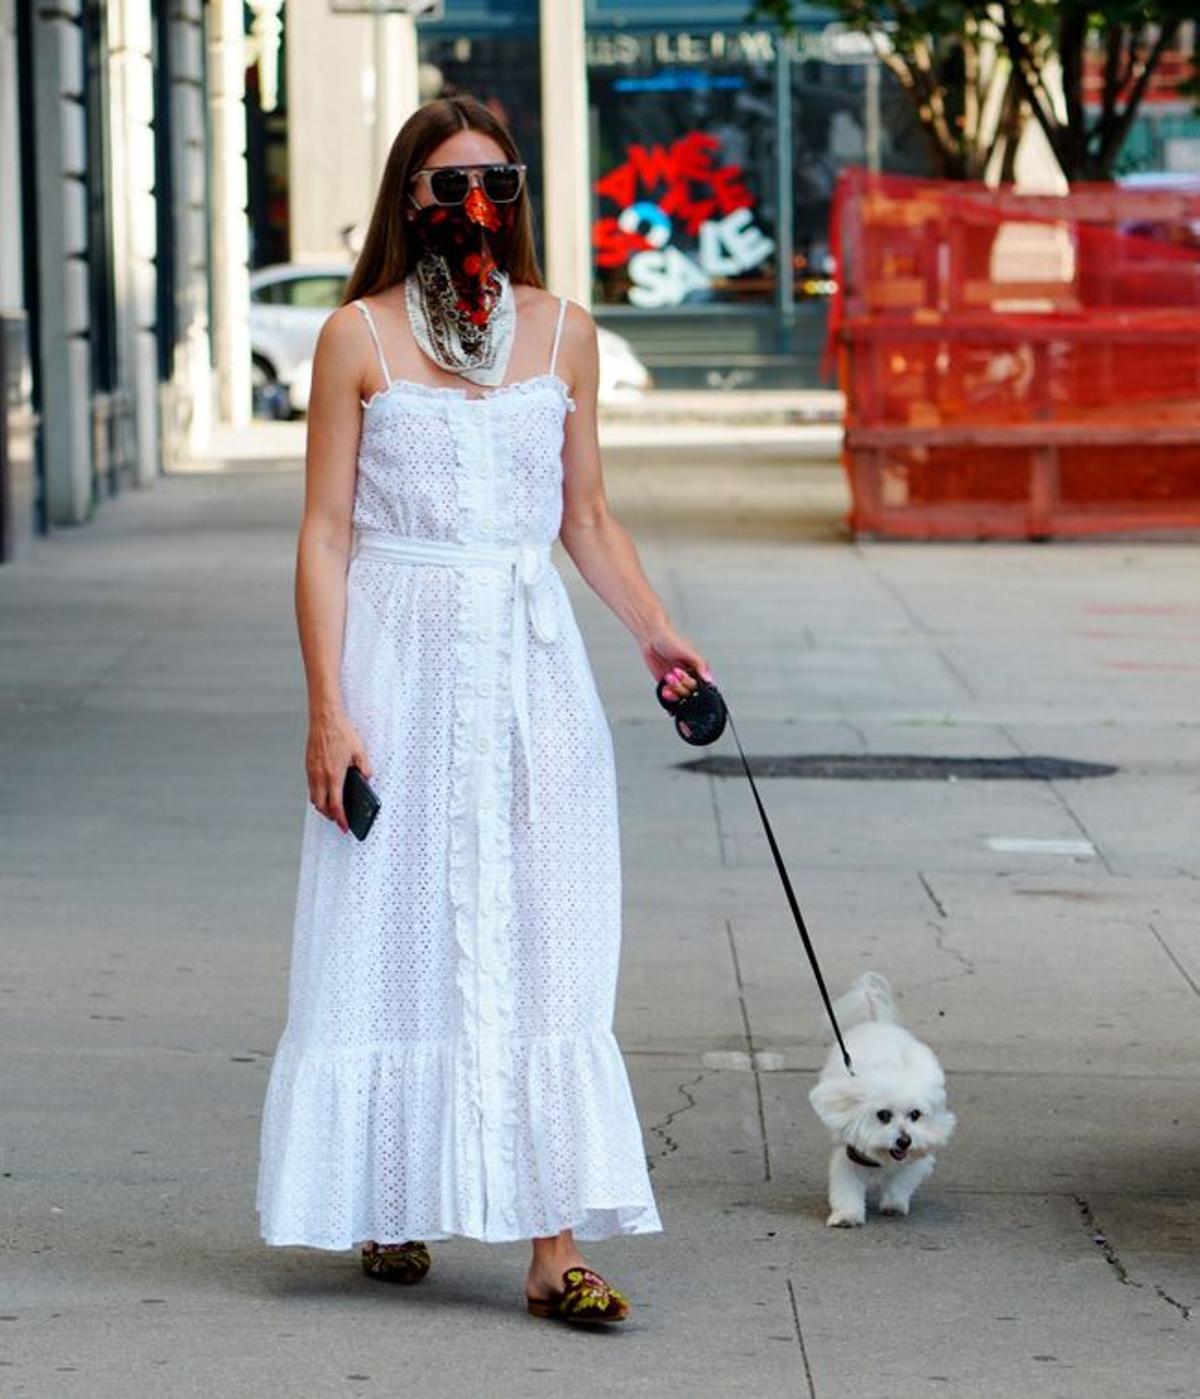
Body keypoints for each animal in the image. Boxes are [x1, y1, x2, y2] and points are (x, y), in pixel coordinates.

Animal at [805, 973, 956, 1225]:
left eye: (915, 1115)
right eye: (883, 1115)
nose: (904, 1141)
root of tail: (877, 1023)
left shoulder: (915, 1158)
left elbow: (901, 1182)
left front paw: (894, 1205)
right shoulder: (850, 1154)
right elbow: (846, 1187)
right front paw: (847, 1216)